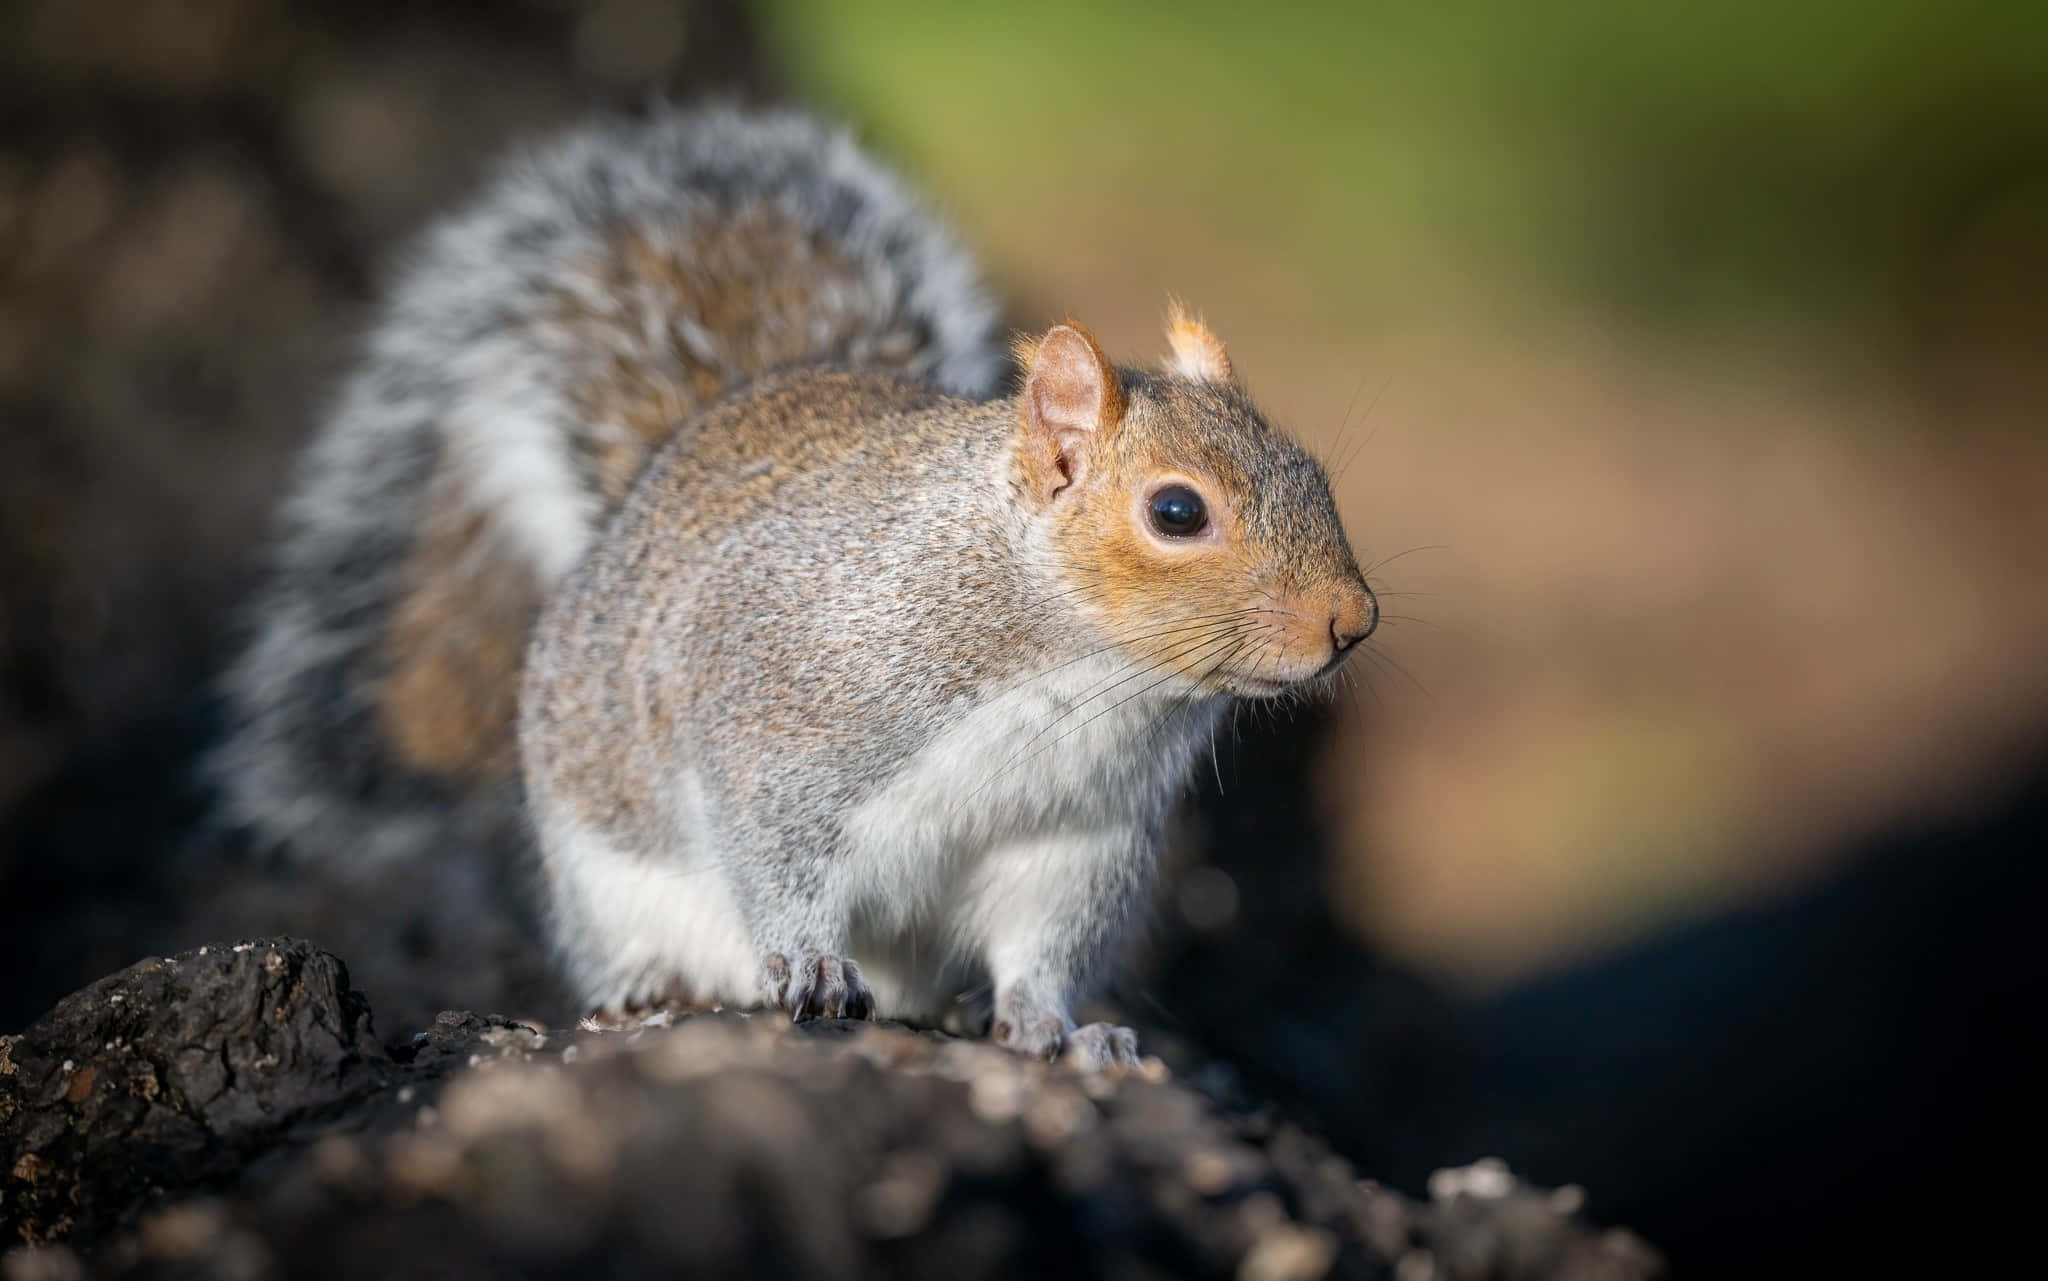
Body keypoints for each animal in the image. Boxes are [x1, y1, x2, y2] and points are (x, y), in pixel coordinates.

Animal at [218, 105, 1377, 1067]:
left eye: (1318, 477)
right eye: (1176, 513)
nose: (1352, 621)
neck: (1072, 667)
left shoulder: (1074, 837)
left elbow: (1039, 944)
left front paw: (1057, 1028)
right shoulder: (782, 713)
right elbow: (773, 854)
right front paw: (812, 961)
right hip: (602, 864)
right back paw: (647, 984)